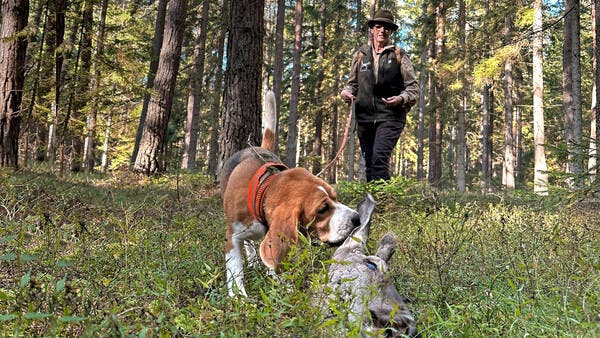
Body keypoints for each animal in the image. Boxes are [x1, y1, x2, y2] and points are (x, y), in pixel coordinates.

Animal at [221, 91, 358, 298]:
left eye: (335, 197)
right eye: (323, 208)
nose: (357, 218)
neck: (263, 191)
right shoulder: (232, 236)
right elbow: (235, 272)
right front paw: (240, 299)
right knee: (250, 245)